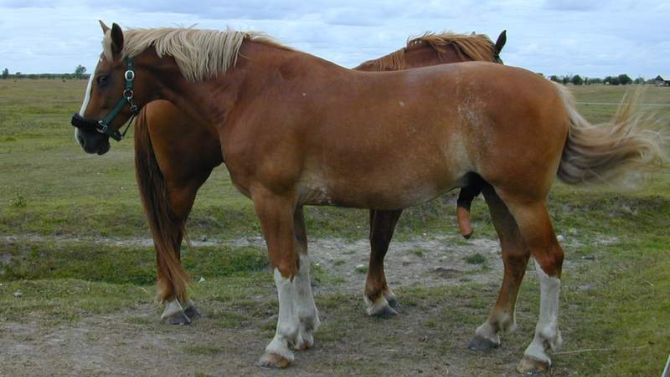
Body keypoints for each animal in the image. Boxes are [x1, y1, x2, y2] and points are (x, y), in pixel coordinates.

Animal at [133, 30, 510, 324]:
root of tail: (153, 100)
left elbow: (377, 241)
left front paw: (383, 293)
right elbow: (380, 241)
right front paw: (377, 299)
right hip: (184, 182)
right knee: (169, 234)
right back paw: (175, 305)